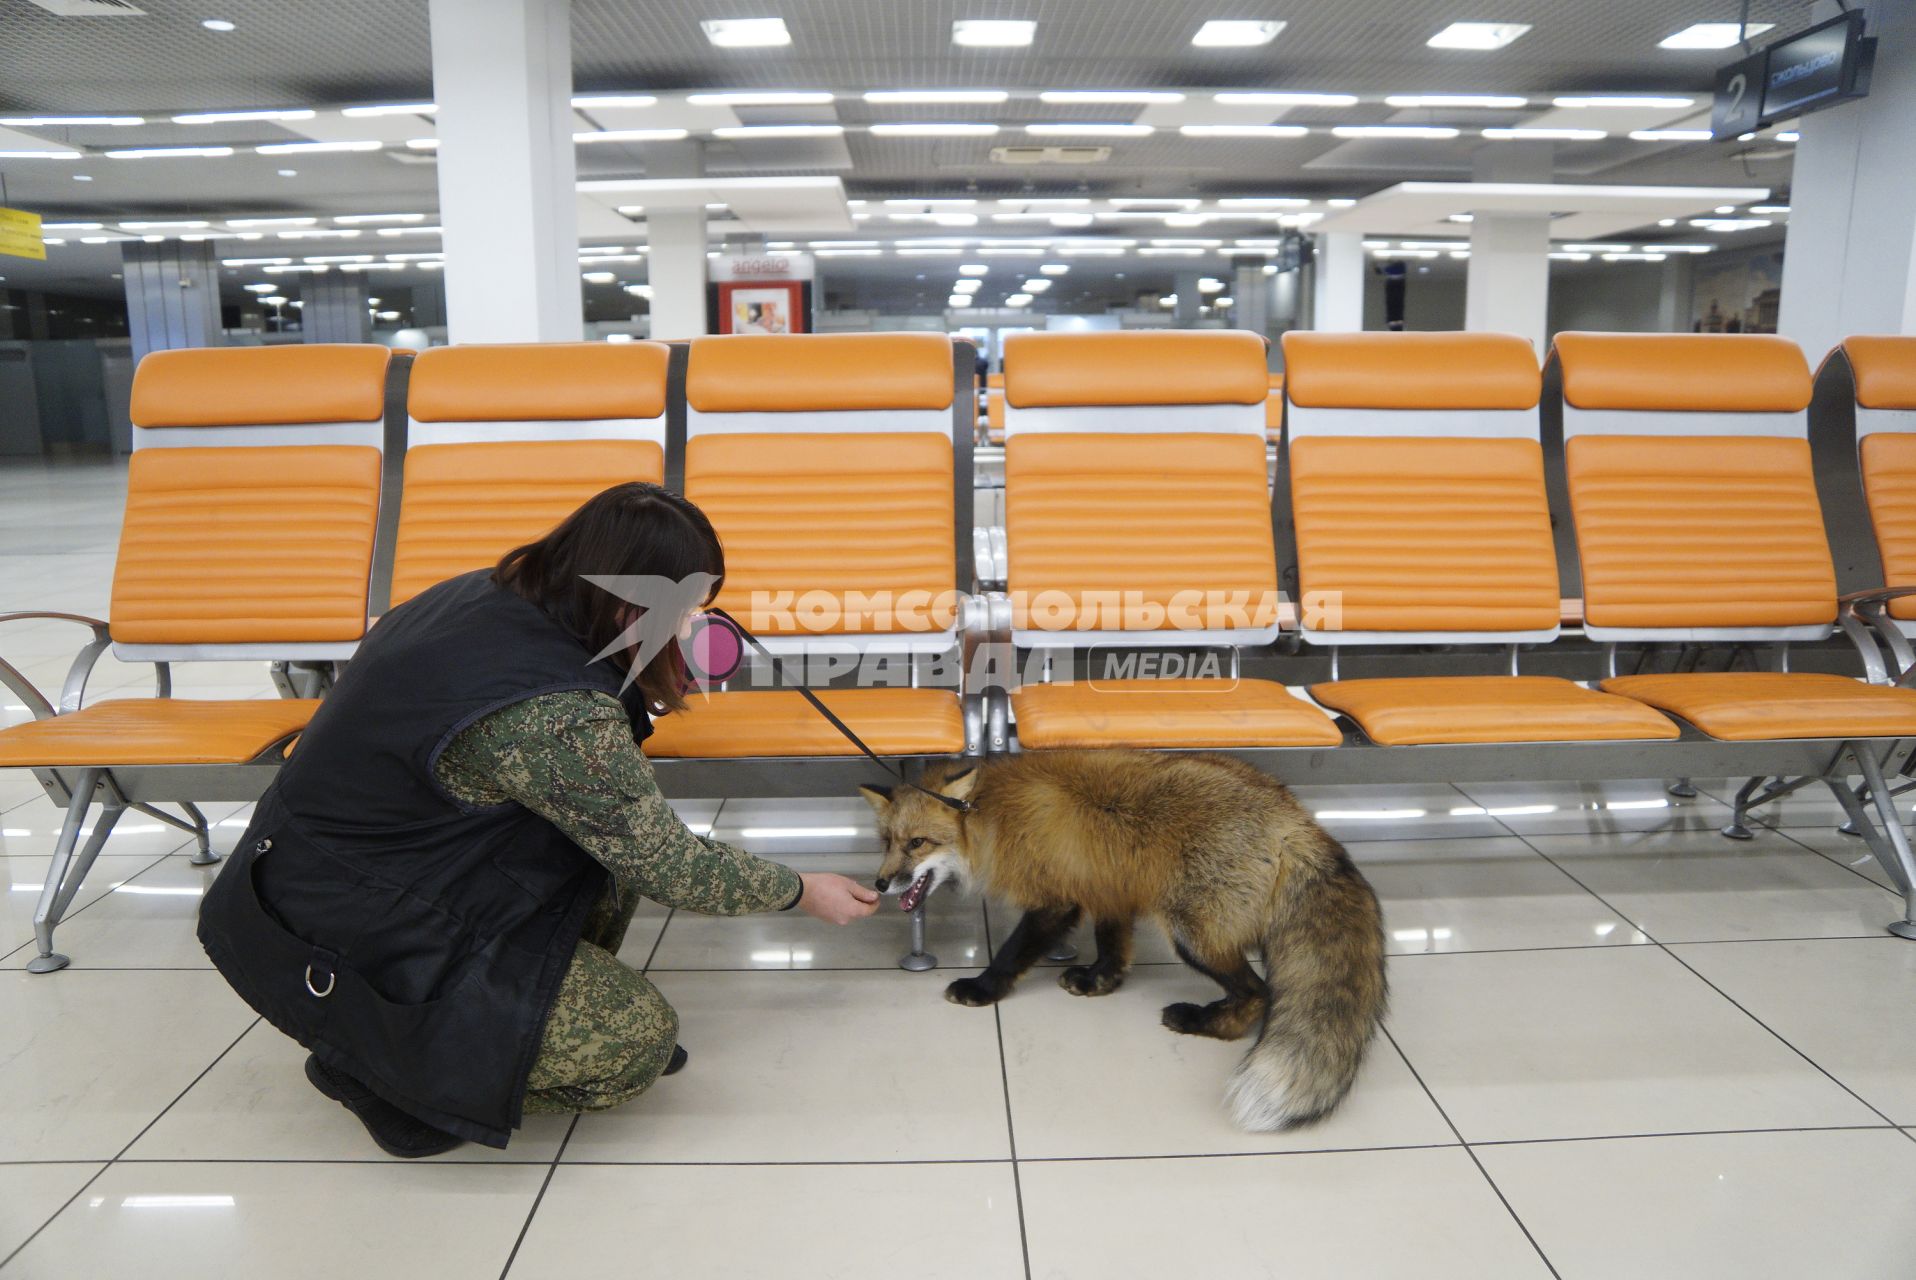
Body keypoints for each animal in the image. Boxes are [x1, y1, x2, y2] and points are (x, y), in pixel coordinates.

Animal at [862, 751, 1387, 1126]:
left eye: (917, 843)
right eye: (887, 842)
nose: (880, 884)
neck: (990, 816)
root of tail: (1296, 817)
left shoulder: (1056, 900)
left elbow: (1011, 954)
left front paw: (981, 989)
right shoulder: (1108, 887)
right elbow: (1114, 949)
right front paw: (1099, 982)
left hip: (1192, 936)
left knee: (1259, 992)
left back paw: (1201, 1021)